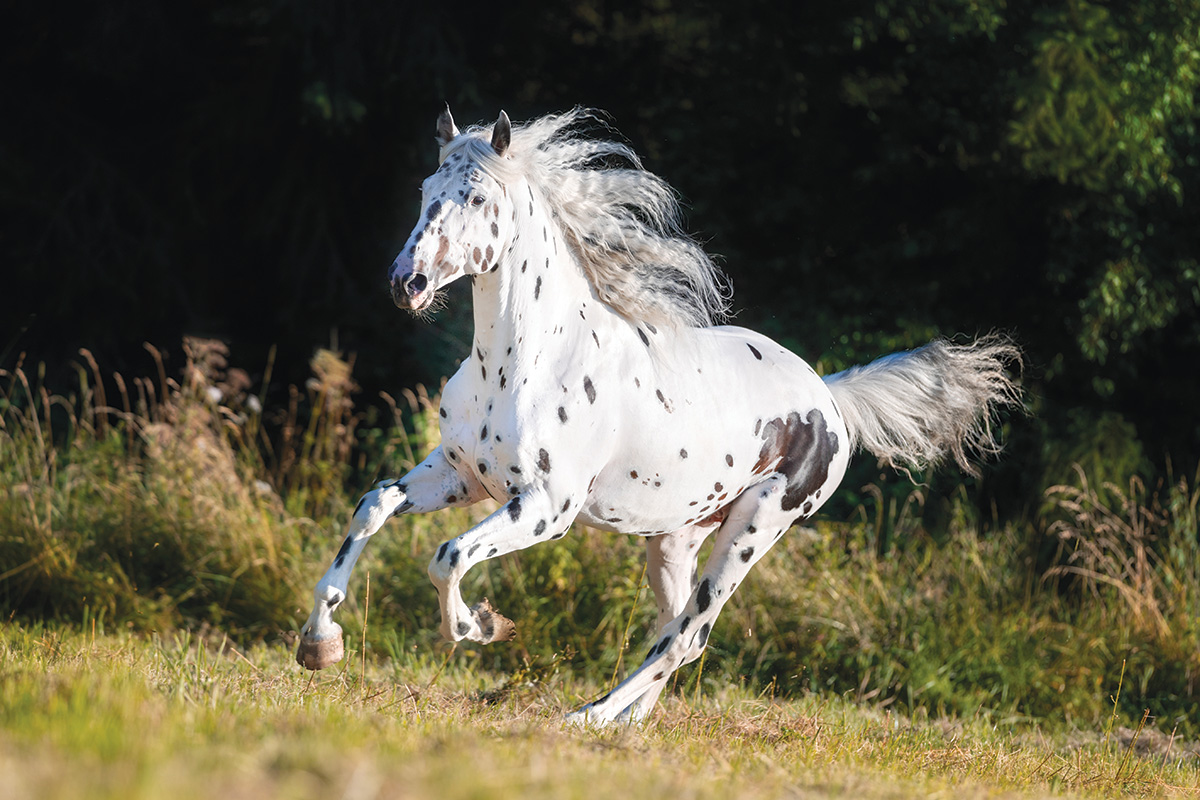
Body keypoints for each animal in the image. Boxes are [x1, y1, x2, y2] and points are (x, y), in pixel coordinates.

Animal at [292, 104, 1022, 724]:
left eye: (478, 198)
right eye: (425, 191)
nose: (406, 283)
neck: (527, 360)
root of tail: (828, 398)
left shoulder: (545, 509)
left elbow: (448, 556)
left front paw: (477, 626)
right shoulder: (462, 474)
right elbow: (374, 506)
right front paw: (319, 643)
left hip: (754, 530)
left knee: (688, 632)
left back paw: (588, 716)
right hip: (676, 540)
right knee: (681, 633)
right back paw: (628, 722)